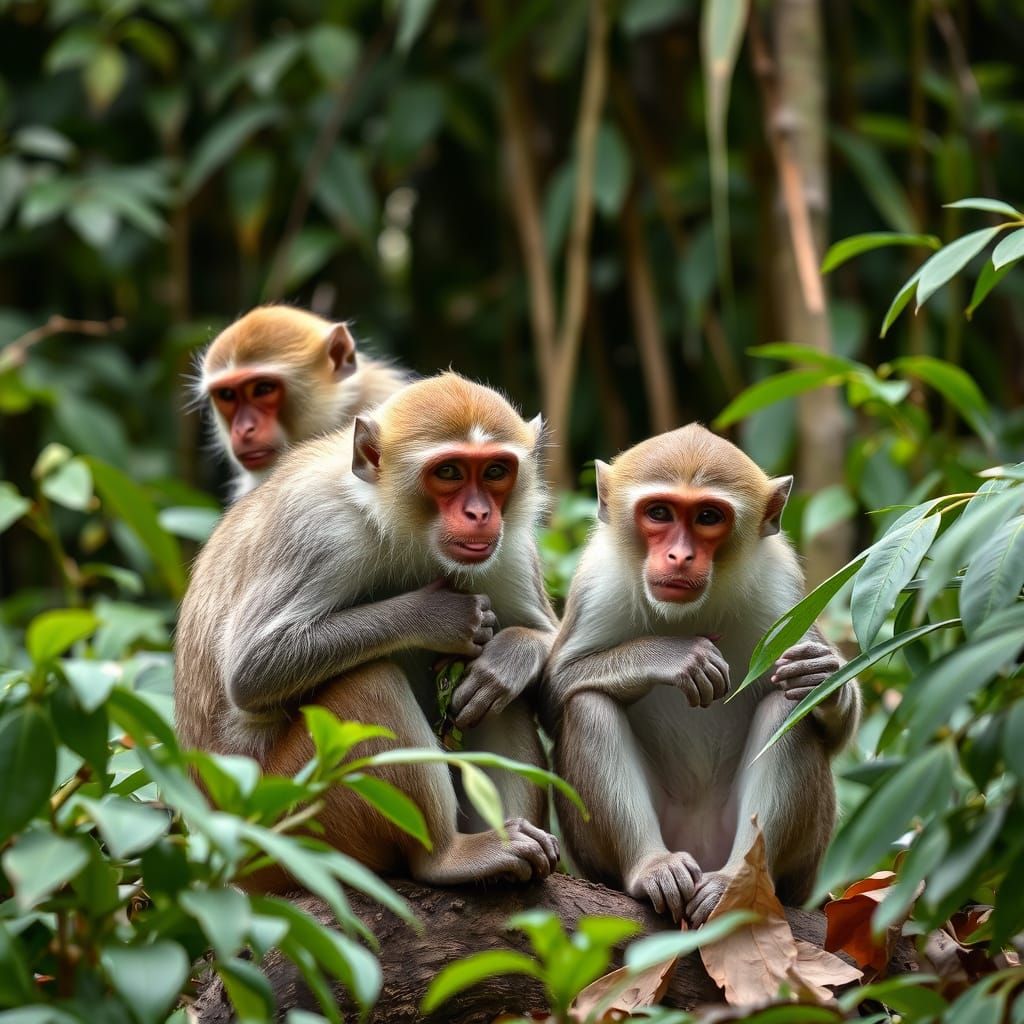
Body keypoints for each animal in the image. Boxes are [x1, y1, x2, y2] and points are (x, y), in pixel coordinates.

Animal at [175, 372, 560, 890]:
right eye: (450, 472)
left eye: (496, 471)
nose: (480, 514)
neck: (400, 525)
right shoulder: (320, 530)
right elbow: (253, 668)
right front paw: (436, 617)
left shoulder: (509, 546)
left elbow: (548, 646)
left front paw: (507, 660)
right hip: (291, 819)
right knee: (368, 682)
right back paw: (449, 856)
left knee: (496, 698)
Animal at [541, 424, 861, 925]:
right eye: (659, 512)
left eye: (709, 516)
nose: (679, 556)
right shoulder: (597, 583)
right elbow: (556, 693)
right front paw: (672, 656)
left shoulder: (783, 593)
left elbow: (829, 724)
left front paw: (823, 680)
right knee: (588, 703)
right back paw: (653, 866)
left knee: (786, 706)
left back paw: (735, 882)